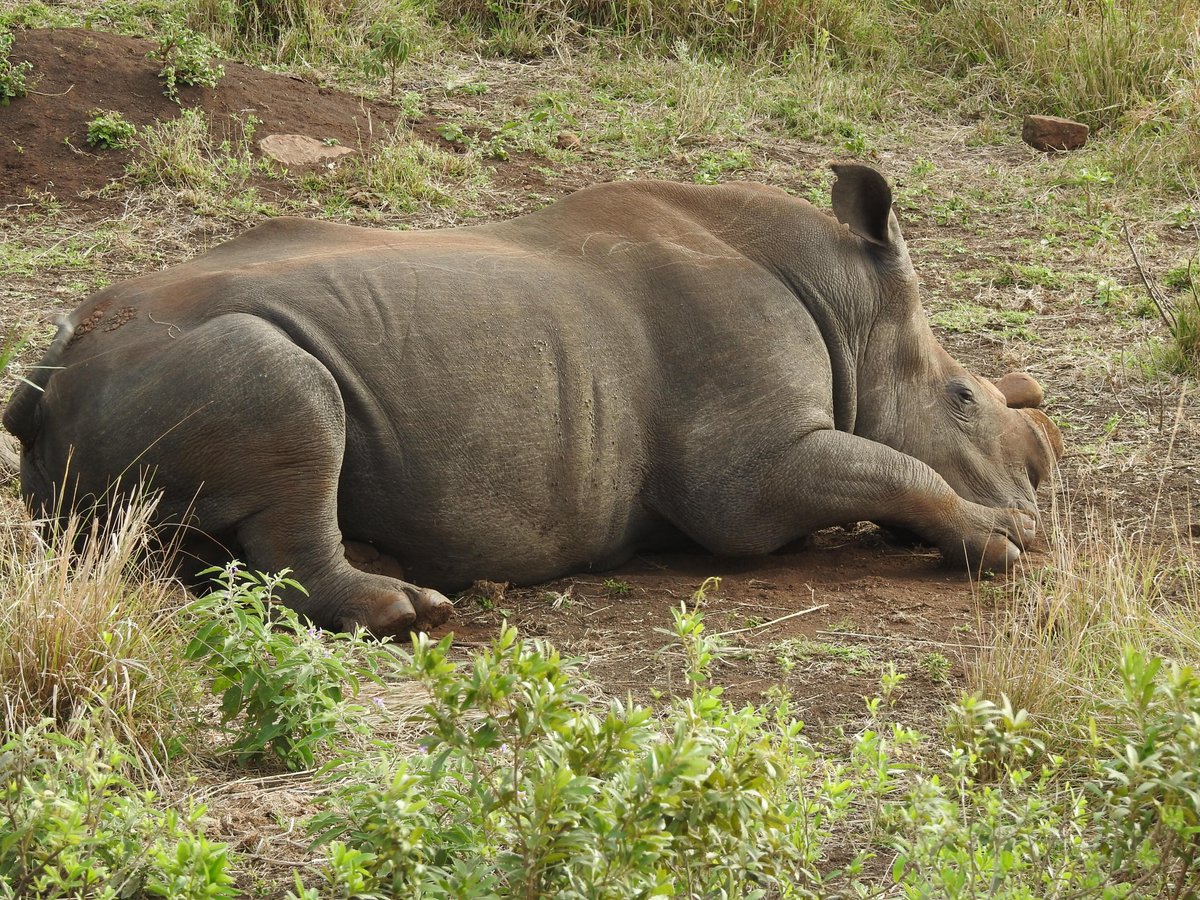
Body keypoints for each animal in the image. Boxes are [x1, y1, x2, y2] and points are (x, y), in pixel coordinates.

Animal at [4, 164, 1062, 636]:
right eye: (963, 398)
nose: (1038, 492)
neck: (849, 301)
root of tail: (45, 382)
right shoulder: (747, 471)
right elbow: (892, 467)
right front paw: (1005, 544)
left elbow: (885, 469)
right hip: (205, 356)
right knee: (295, 398)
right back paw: (412, 607)